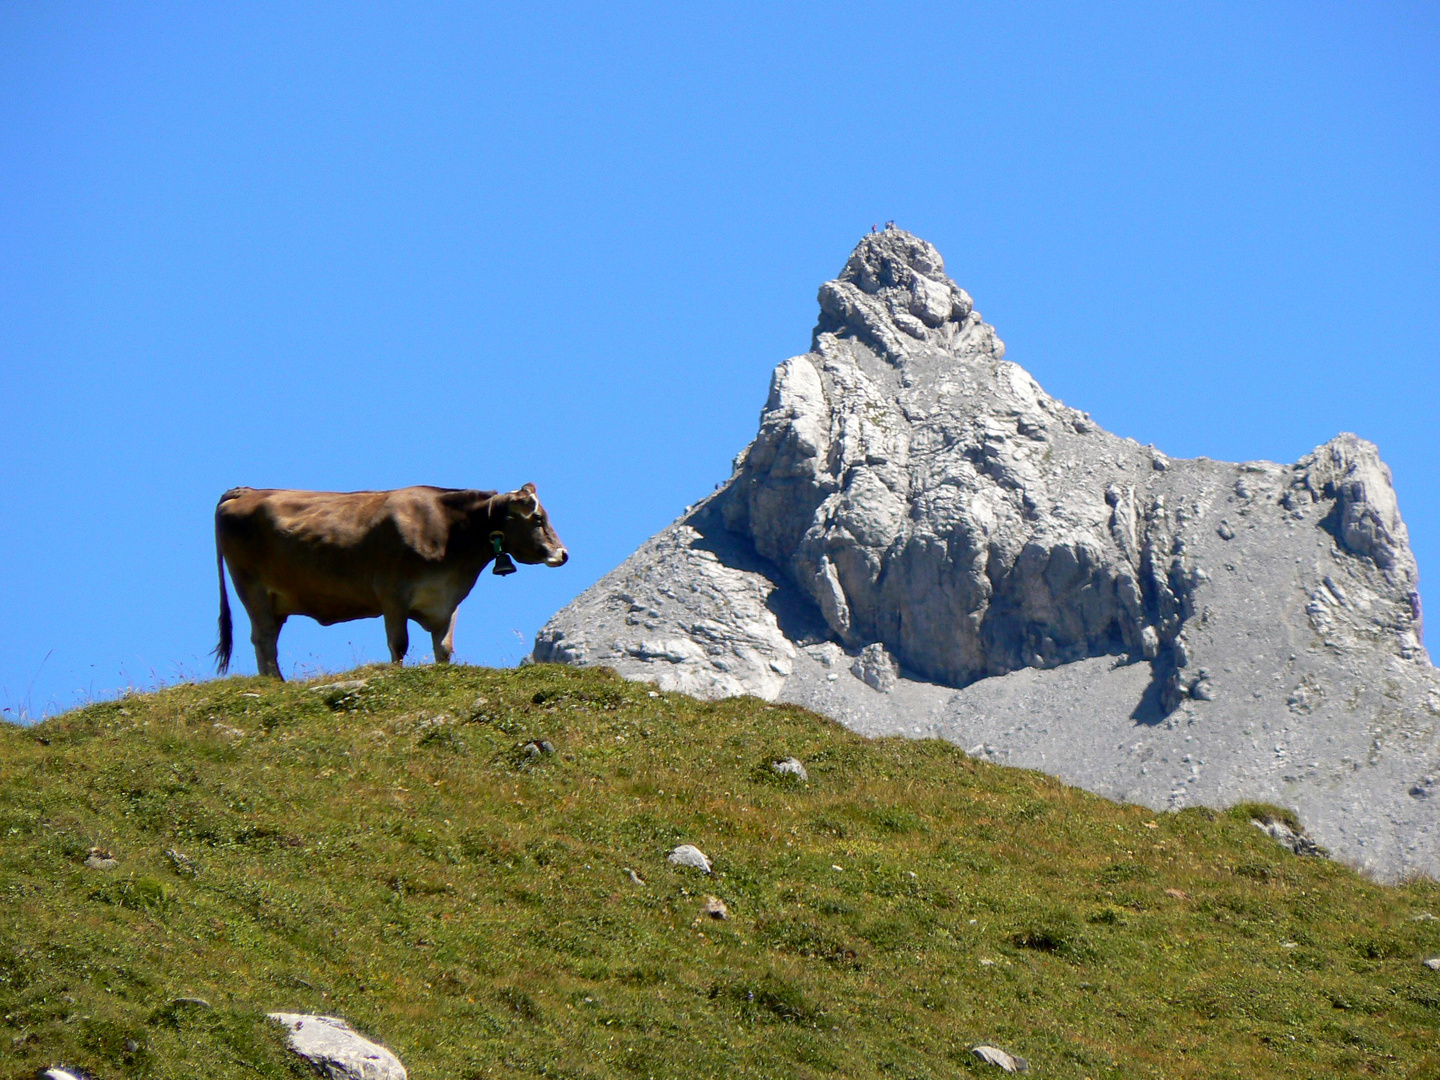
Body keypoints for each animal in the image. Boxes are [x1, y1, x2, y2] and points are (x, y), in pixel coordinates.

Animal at [213, 486, 567, 679]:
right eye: (538, 518)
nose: (563, 554)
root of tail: (245, 491)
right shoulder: (392, 595)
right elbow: (399, 644)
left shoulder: (446, 600)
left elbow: (444, 647)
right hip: (251, 588)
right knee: (263, 639)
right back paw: (275, 683)